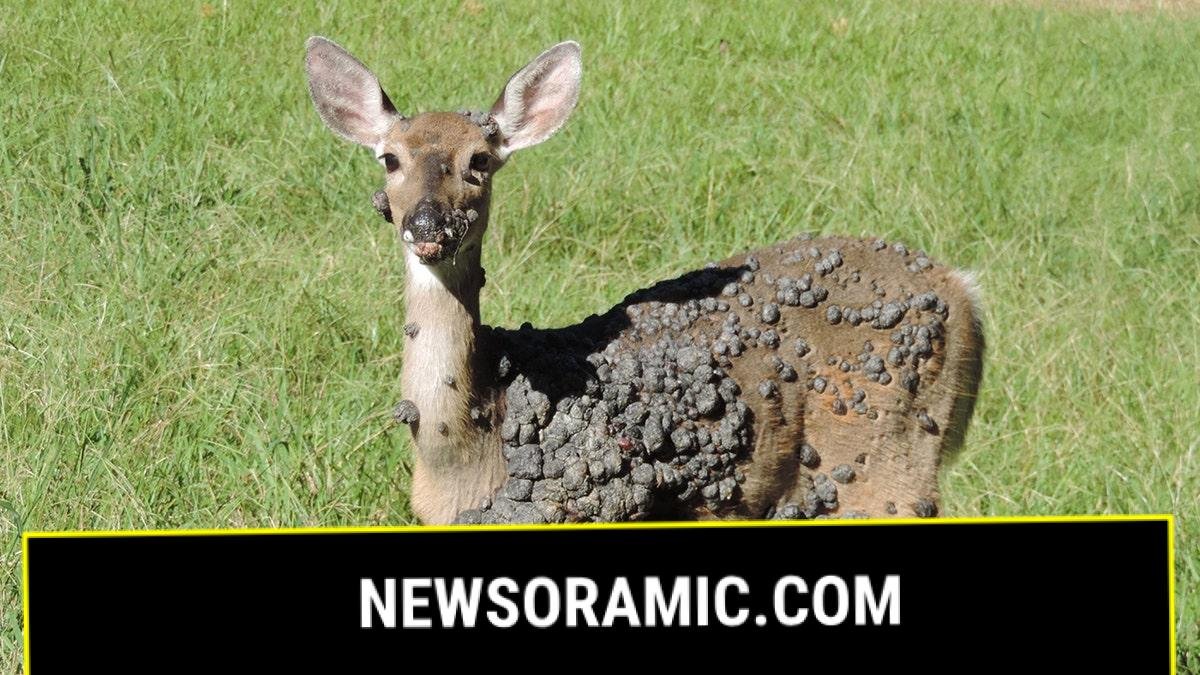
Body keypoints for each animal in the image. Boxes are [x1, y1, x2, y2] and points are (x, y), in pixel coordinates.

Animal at [304, 37, 985, 525]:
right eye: (390, 158)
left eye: (480, 161)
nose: (426, 225)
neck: (467, 454)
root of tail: (964, 292)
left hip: (885, 462)